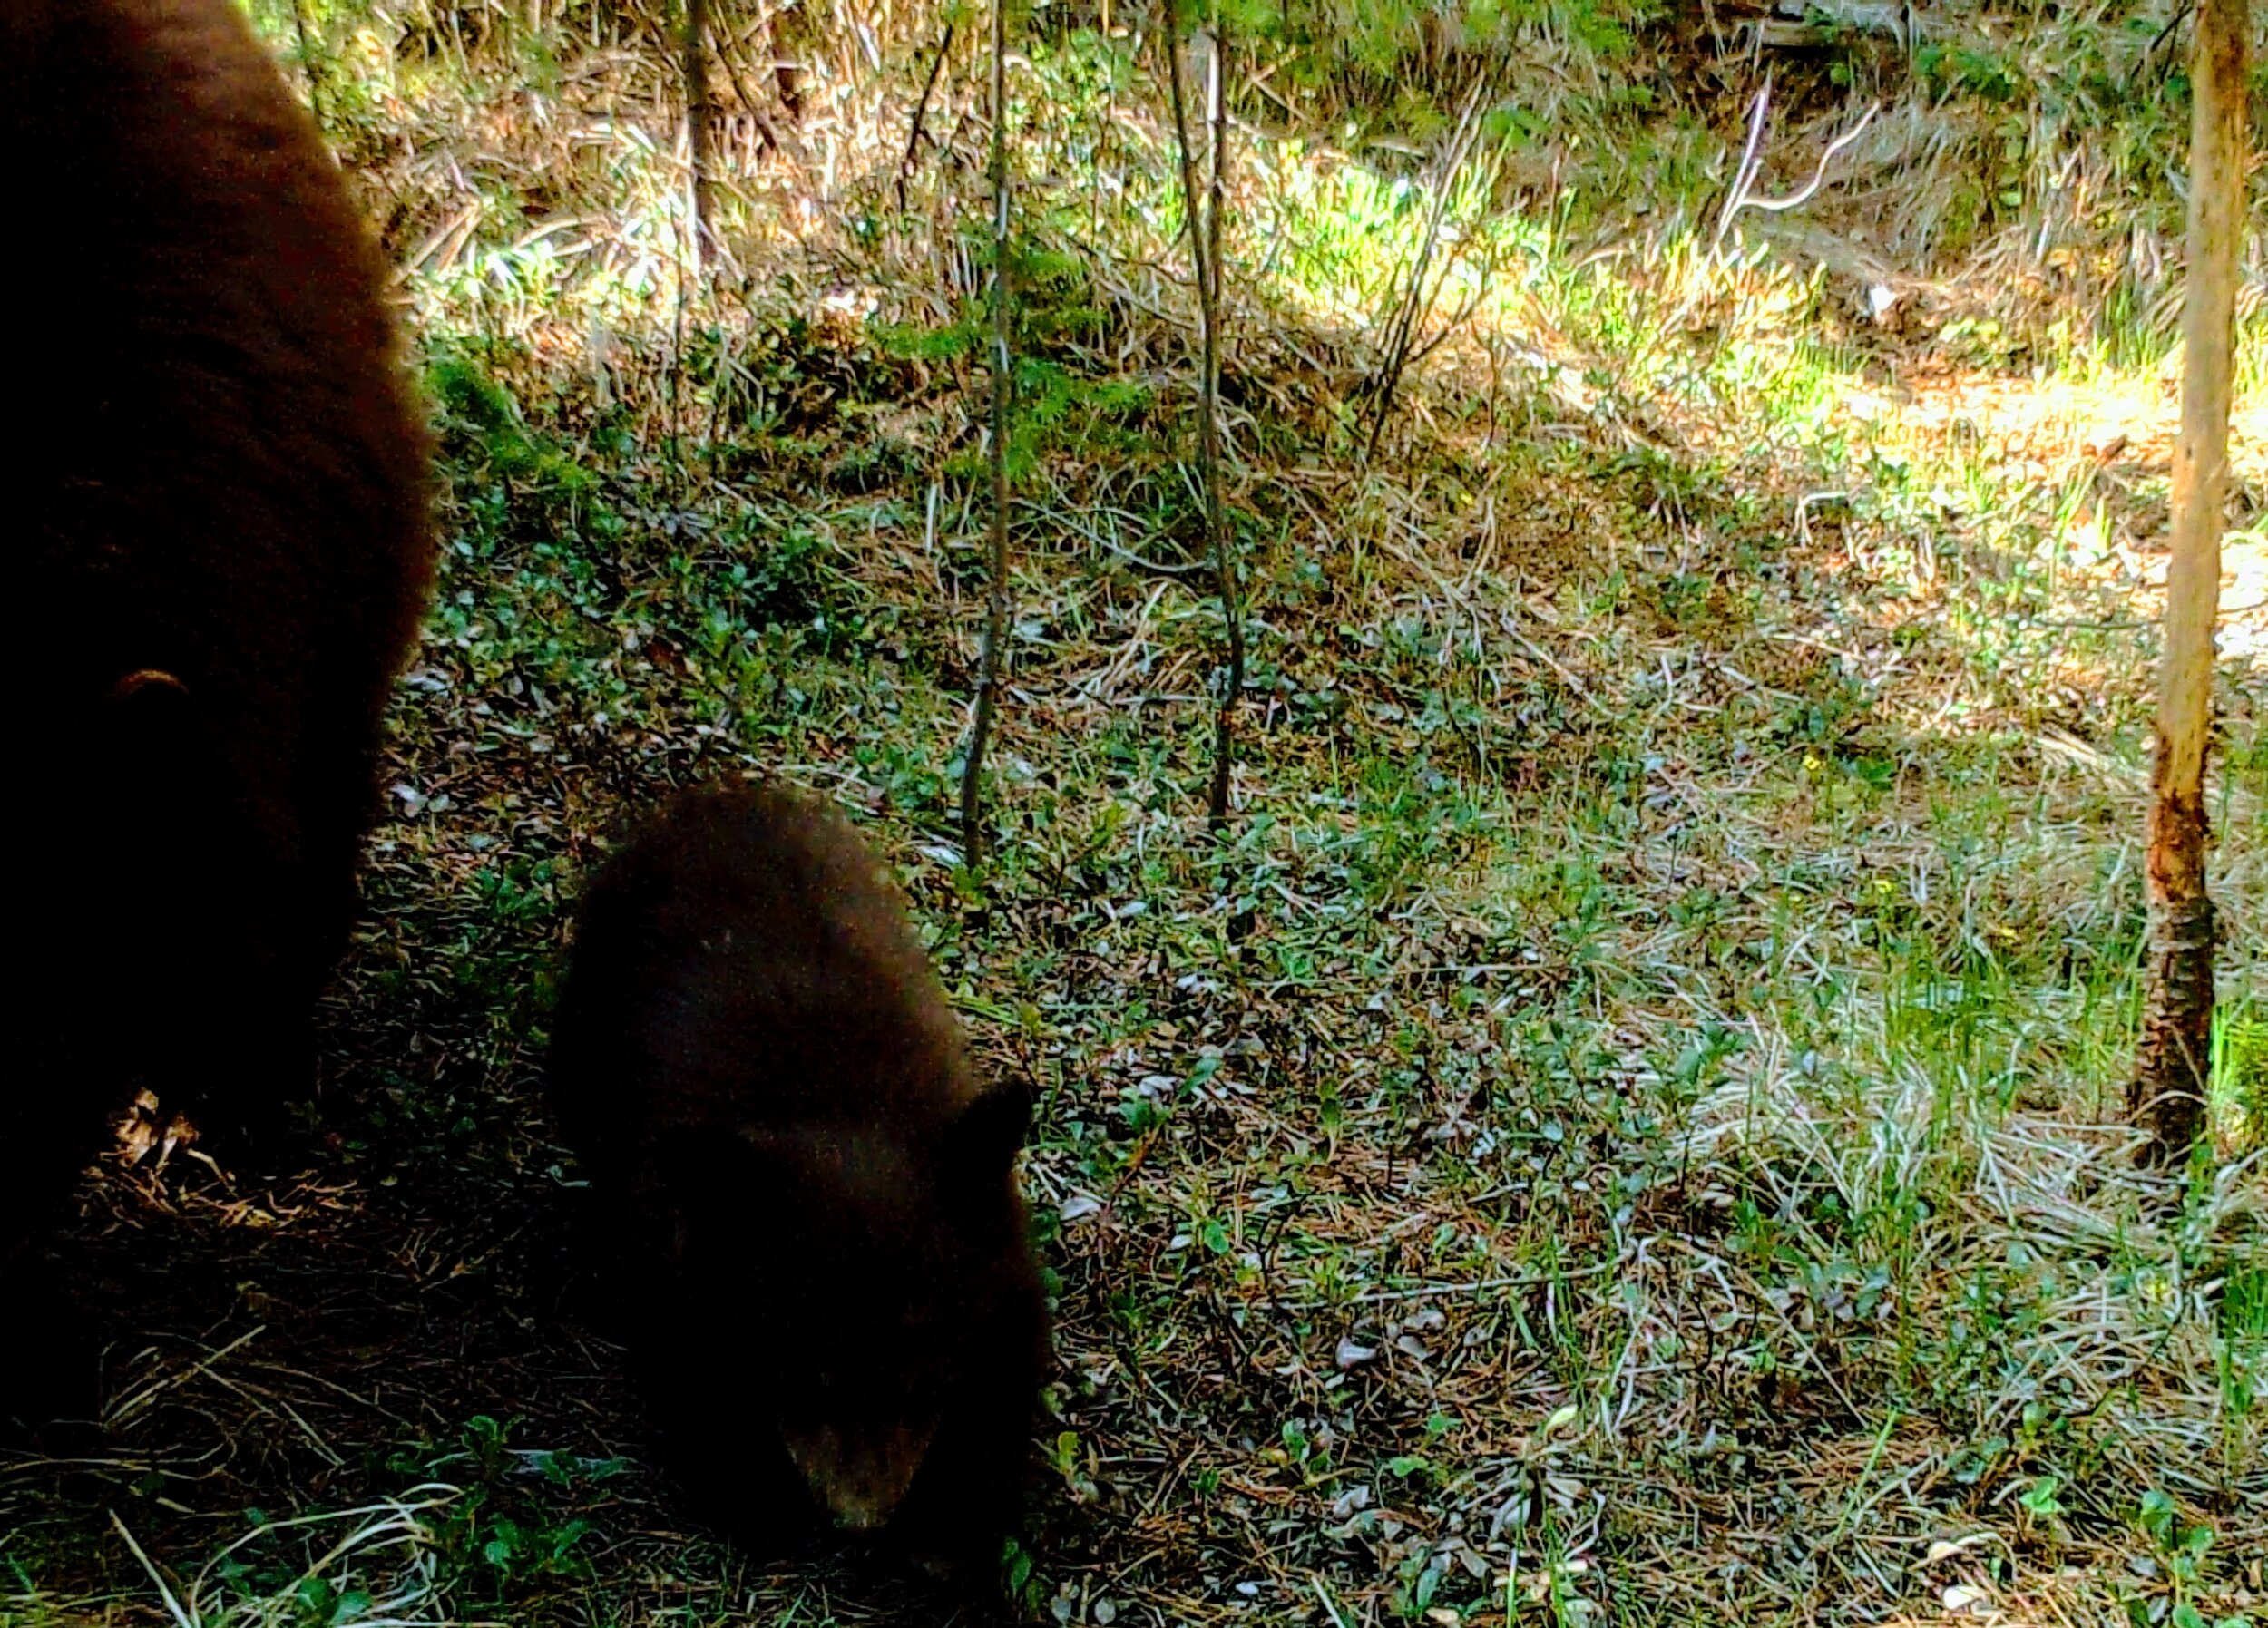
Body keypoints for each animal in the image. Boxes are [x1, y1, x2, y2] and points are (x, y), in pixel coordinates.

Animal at [549, 789, 1052, 1578]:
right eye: (803, 1372)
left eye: (920, 1372)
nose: (861, 1519)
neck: (844, 1114)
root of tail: (711, 797)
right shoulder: (666, 1243)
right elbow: (685, 1357)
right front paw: (756, 1498)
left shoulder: (997, 1246)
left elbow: (1005, 1363)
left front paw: (947, 1526)